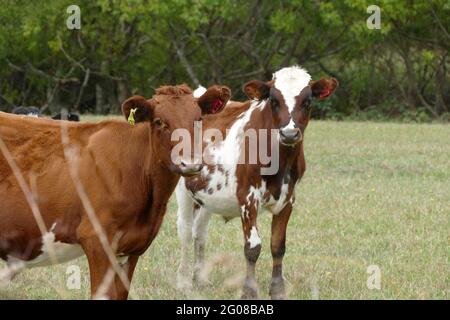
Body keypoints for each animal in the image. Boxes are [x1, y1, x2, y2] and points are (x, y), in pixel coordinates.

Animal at [176, 66, 338, 298]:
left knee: (200, 232)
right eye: (274, 100)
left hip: (207, 194)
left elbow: (278, 245)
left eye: (307, 101)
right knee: (186, 232)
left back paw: (200, 278)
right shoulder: (247, 197)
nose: (289, 134)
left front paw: (278, 289)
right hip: (183, 188)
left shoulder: (288, 199)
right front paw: (249, 290)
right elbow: (252, 247)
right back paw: (182, 281)